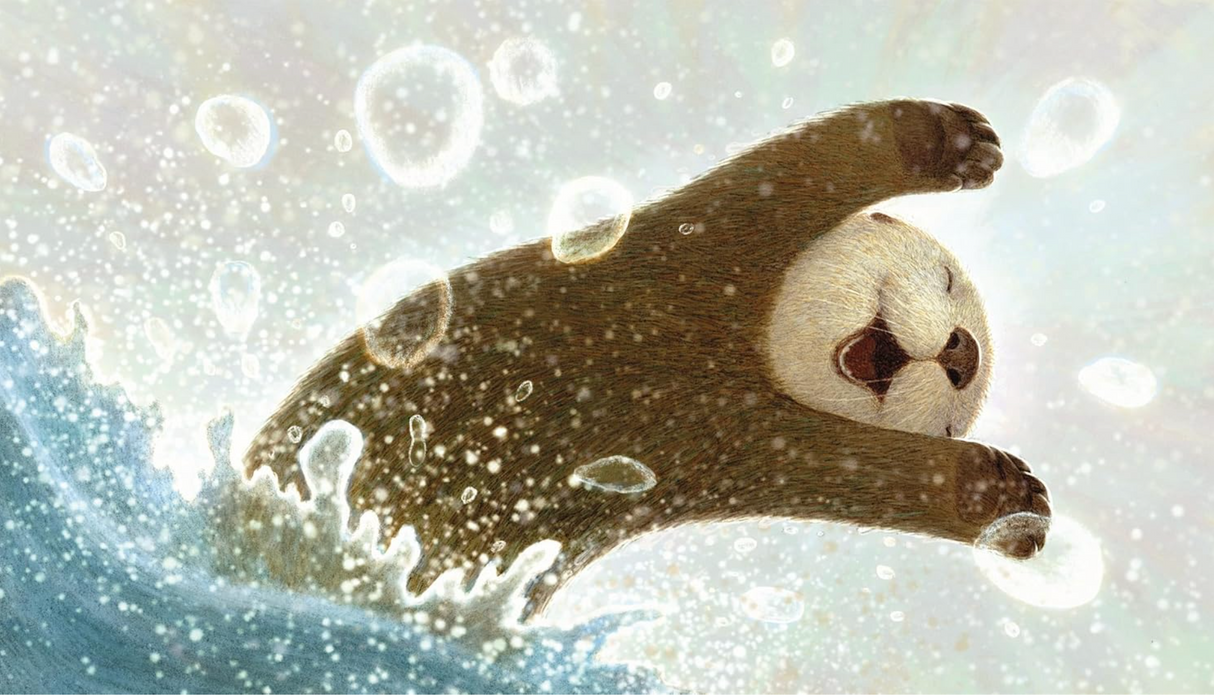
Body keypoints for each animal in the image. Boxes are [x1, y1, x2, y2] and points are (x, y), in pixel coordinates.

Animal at [243, 99, 1051, 615]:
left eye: (953, 413)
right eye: (945, 282)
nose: (962, 352)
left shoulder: (736, 445)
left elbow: (851, 470)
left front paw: (1011, 501)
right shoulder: (720, 236)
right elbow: (803, 168)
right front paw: (956, 139)